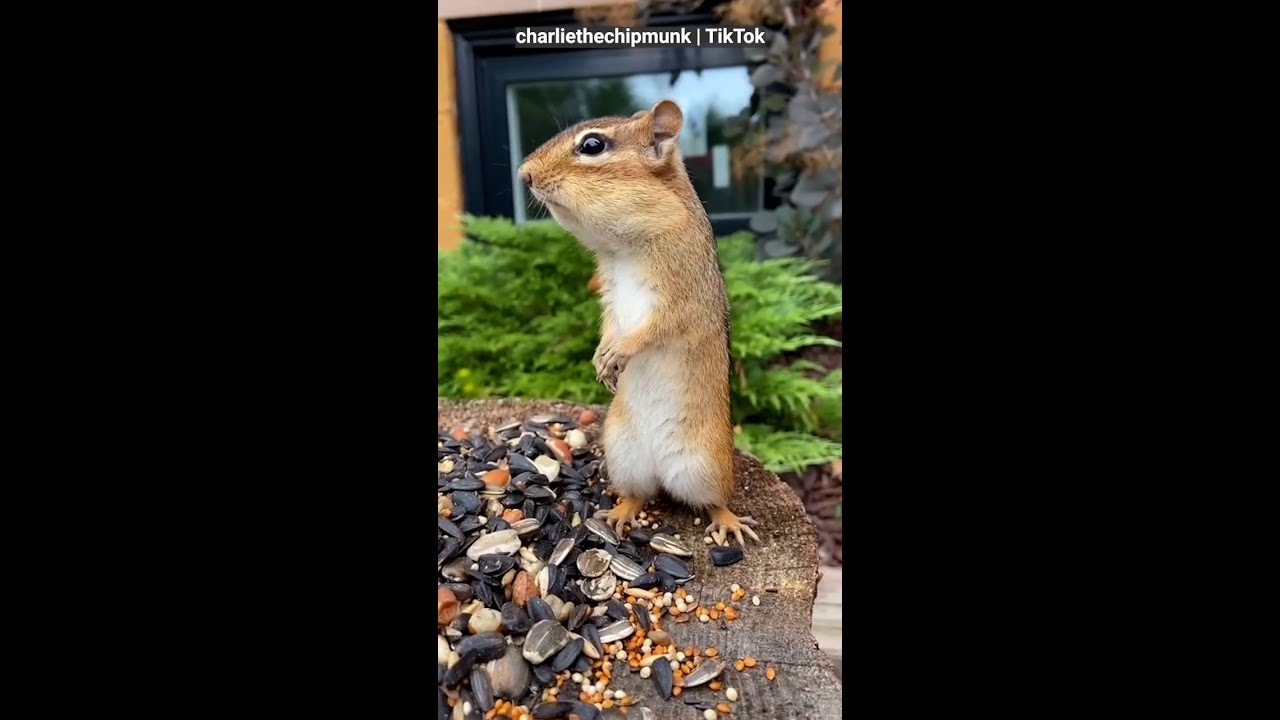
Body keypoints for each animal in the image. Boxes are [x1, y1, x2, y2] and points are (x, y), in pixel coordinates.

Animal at [518, 100, 760, 546]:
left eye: (593, 145)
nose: (525, 174)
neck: (624, 248)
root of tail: (661, 470)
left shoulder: (682, 297)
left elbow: (657, 328)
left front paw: (619, 351)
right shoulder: (611, 295)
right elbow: (610, 323)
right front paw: (602, 357)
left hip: (706, 465)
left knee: (714, 500)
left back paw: (728, 521)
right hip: (623, 455)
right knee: (638, 493)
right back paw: (620, 513)